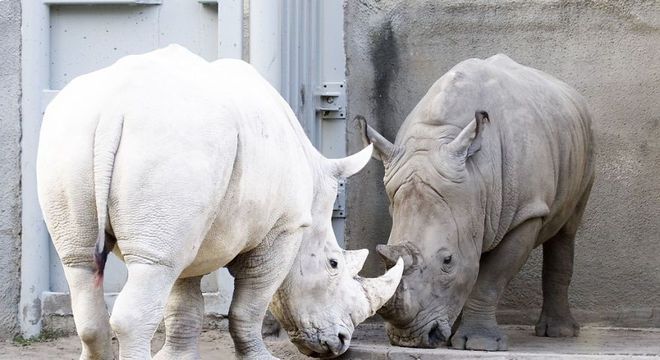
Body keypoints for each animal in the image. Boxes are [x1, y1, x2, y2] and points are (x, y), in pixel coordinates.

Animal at [40, 45, 408, 360]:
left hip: (73, 137)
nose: (341, 342)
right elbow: (249, 306)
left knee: (80, 263)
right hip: (173, 141)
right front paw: (262, 358)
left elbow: (184, 304)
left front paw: (175, 357)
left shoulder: (192, 231)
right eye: (333, 264)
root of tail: (115, 107)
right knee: (149, 267)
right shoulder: (283, 228)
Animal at [364, 54, 596, 352]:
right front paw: (456, 337)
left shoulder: (527, 212)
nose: (409, 339)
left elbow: (490, 278)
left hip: (587, 144)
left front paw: (479, 344)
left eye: (447, 260)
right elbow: (473, 267)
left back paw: (559, 333)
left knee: (567, 229)